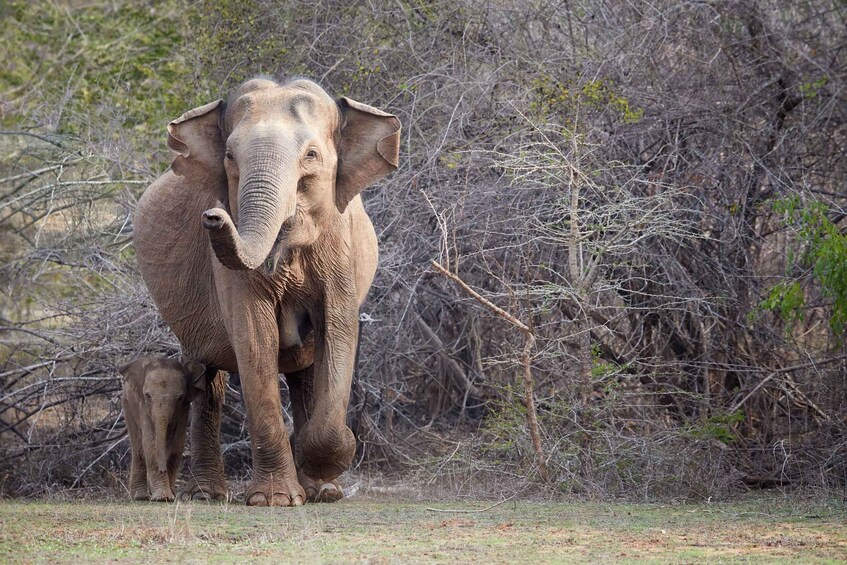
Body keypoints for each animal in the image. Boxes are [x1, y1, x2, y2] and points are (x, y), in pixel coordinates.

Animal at [120, 354, 206, 500]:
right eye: (147, 396)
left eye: (180, 398)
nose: (162, 469)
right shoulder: (143, 406)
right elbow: (150, 443)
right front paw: (162, 498)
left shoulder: (183, 409)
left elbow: (177, 444)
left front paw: (170, 496)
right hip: (127, 403)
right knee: (138, 447)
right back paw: (140, 497)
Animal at [135, 77, 400, 504]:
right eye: (229, 156)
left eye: (311, 155)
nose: (213, 217)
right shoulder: (227, 272)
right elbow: (255, 337)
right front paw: (275, 500)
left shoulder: (339, 249)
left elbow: (339, 330)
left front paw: (320, 464)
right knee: (206, 377)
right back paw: (209, 495)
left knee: (305, 373)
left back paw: (322, 490)